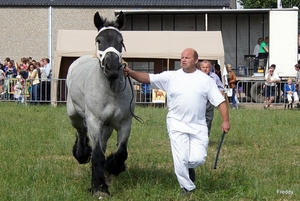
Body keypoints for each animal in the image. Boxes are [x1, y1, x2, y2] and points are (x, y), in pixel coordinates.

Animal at [67, 11, 134, 199]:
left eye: (121, 41)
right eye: (99, 40)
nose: (112, 68)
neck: (110, 91)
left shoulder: (124, 123)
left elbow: (121, 152)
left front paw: (112, 167)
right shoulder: (94, 121)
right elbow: (97, 154)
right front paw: (99, 187)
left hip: (107, 127)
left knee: (102, 143)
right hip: (74, 115)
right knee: (81, 131)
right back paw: (81, 154)